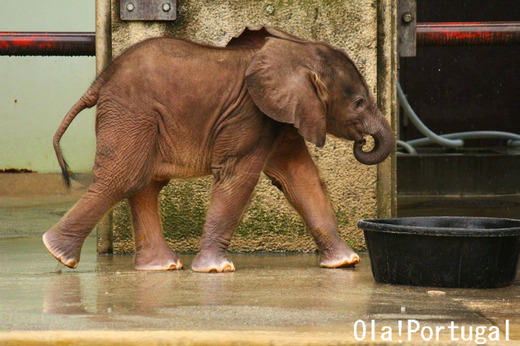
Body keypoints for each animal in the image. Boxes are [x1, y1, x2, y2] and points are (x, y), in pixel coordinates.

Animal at [43, 25, 394, 272]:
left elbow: (302, 179)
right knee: (124, 177)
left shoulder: (279, 118)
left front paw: (345, 263)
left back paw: (161, 266)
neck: (295, 52)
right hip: (131, 114)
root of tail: (99, 82)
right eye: (359, 103)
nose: (363, 141)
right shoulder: (249, 115)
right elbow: (238, 178)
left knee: (144, 183)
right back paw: (58, 253)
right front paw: (216, 268)